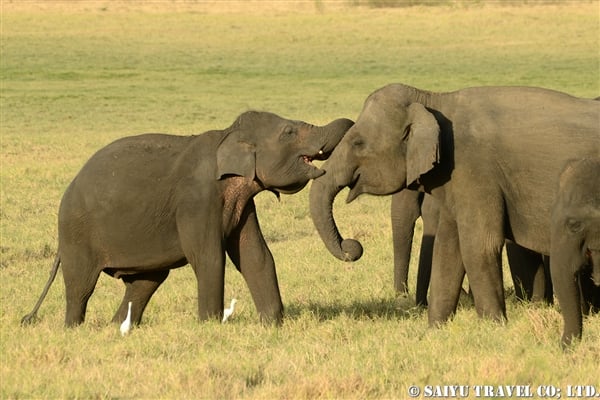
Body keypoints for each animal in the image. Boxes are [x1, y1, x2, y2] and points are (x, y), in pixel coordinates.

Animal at [22, 111, 352, 328]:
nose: (350, 122)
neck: (226, 136)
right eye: (289, 132)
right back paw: (73, 328)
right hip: (77, 232)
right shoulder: (197, 201)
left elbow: (255, 255)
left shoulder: (243, 203)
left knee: (145, 282)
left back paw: (119, 328)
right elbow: (209, 257)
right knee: (81, 285)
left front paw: (273, 324)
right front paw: (210, 326)